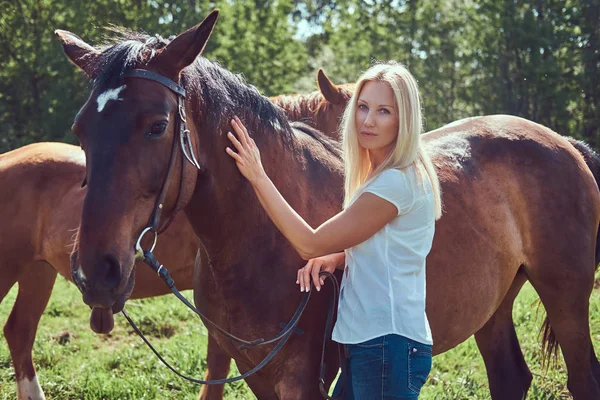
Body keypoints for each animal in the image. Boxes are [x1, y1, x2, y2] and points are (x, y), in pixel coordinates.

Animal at [56, 12, 600, 400]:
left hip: (567, 297)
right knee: (510, 377)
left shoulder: (301, 378)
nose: (96, 271)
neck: (254, 241)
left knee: (582, 377)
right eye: (80, 129)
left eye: (156, 126)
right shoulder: (255, 373)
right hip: (493, 305)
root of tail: (565, 144)